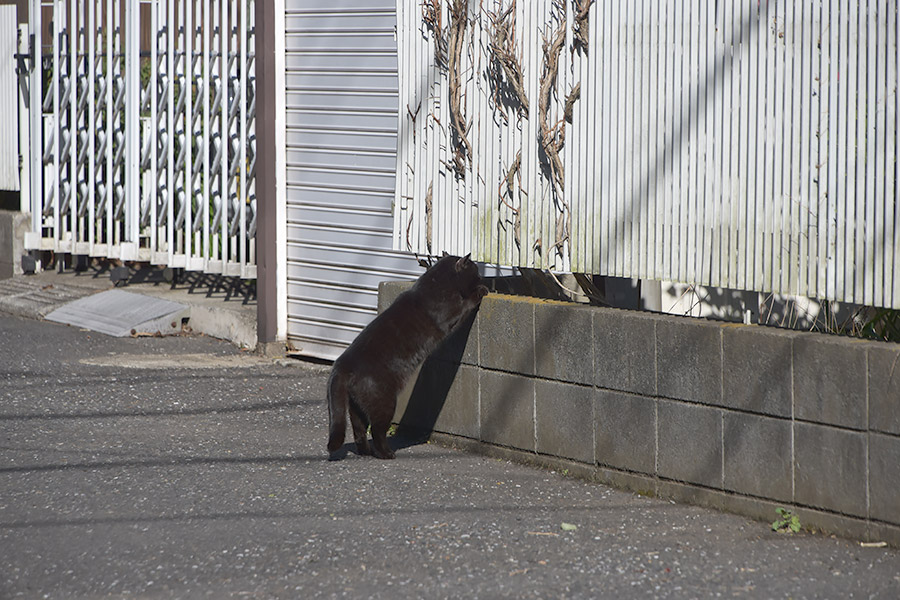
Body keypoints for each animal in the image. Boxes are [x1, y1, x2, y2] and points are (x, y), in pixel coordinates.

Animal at [326, 253, 488, 460]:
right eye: (476, 272)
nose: (483, 278)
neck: (437, 284)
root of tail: (342, 364)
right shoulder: (453, 313)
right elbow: (467, 302)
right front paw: (482, 290)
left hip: (356, 408)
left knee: (359, 430)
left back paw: (365, 452)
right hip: (384, 402)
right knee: (377, 430)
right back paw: (386, 453)